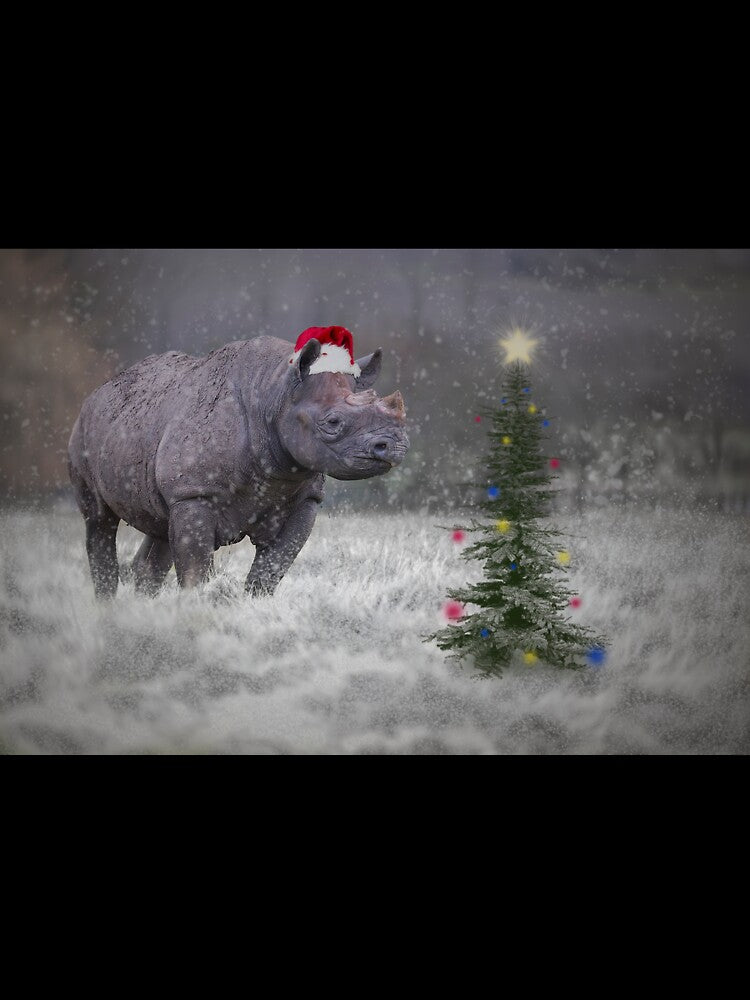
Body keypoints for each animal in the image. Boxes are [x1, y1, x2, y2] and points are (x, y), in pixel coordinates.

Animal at [68, 328, 409, 598]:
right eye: (333, 422)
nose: (394, 445)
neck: (275, 394)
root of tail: (96, 393)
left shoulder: (305, 498)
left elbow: (272, 568)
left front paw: (255, 608)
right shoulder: (195, 493)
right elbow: (196, 569)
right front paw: (198, 608)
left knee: (159, 526)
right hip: (83, 431)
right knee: (99, 520)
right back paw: (108, 607)